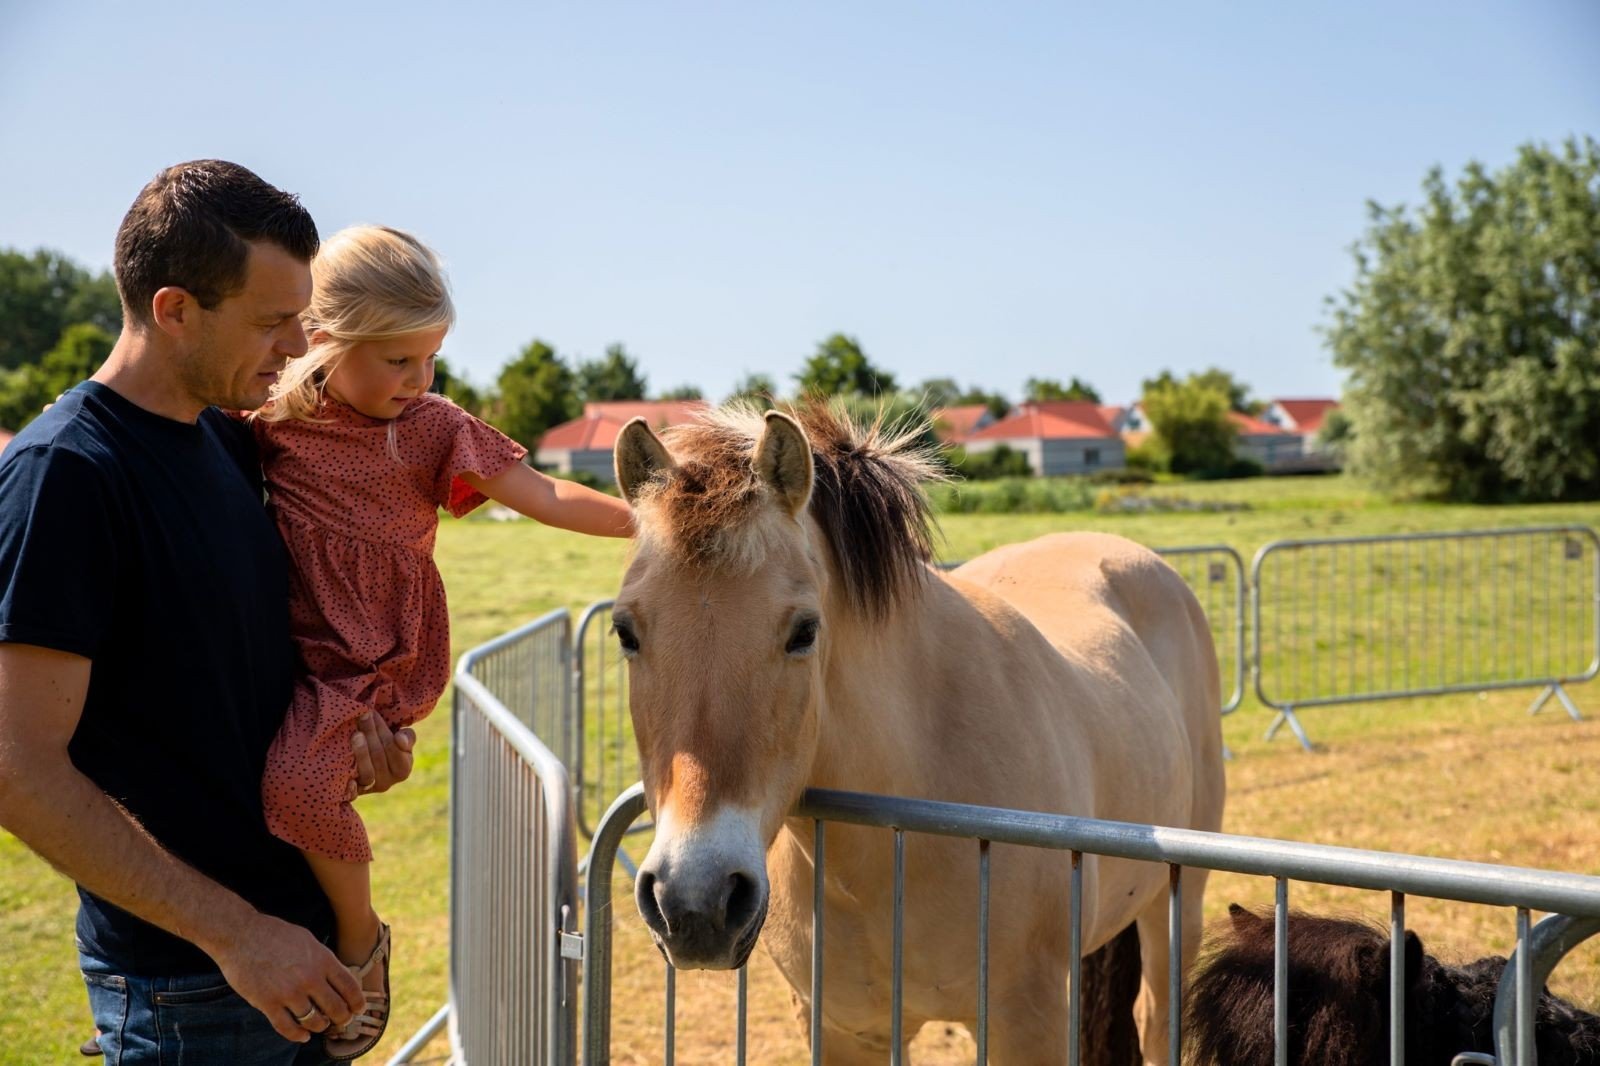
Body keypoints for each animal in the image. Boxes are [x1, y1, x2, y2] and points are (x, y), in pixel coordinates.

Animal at [609, 403, 1227, 1064]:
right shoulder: (844, 1030)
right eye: (625, 631)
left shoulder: (1024, 1023)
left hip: (1176, 906)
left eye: (804, 631)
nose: (693, 904)